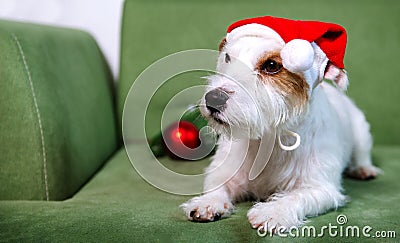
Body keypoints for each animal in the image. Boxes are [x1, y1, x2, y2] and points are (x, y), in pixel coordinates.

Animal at [181, 16, 382, 232]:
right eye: (227, 58)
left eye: (271, 65)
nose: (213, 99)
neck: (269, 139)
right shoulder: (224, 173)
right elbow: (217, 186)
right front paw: (207, 202)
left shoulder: (320, 188)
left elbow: (296, 197)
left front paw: (273, 211)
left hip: (361, 133)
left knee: (361, 154)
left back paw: (364, 169)